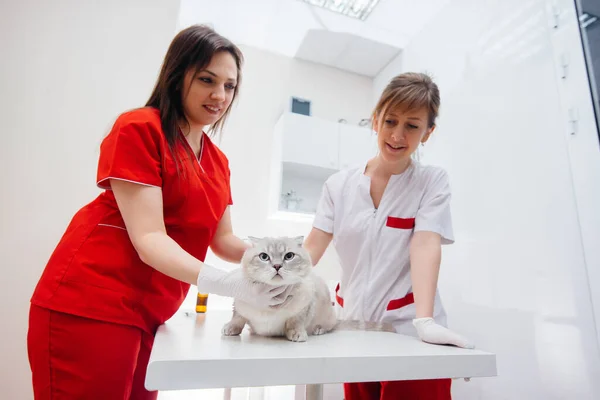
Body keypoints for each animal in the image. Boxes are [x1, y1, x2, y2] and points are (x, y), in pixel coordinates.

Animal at [220, 236, 394, 342]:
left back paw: (319, 329)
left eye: (289, 256)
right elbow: (238, 318)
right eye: (264, 257)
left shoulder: (303, 308)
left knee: (330, 327)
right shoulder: (239, 306)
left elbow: (295, 322)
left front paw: (297, 334)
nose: (277, 266)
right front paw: (231, 328)